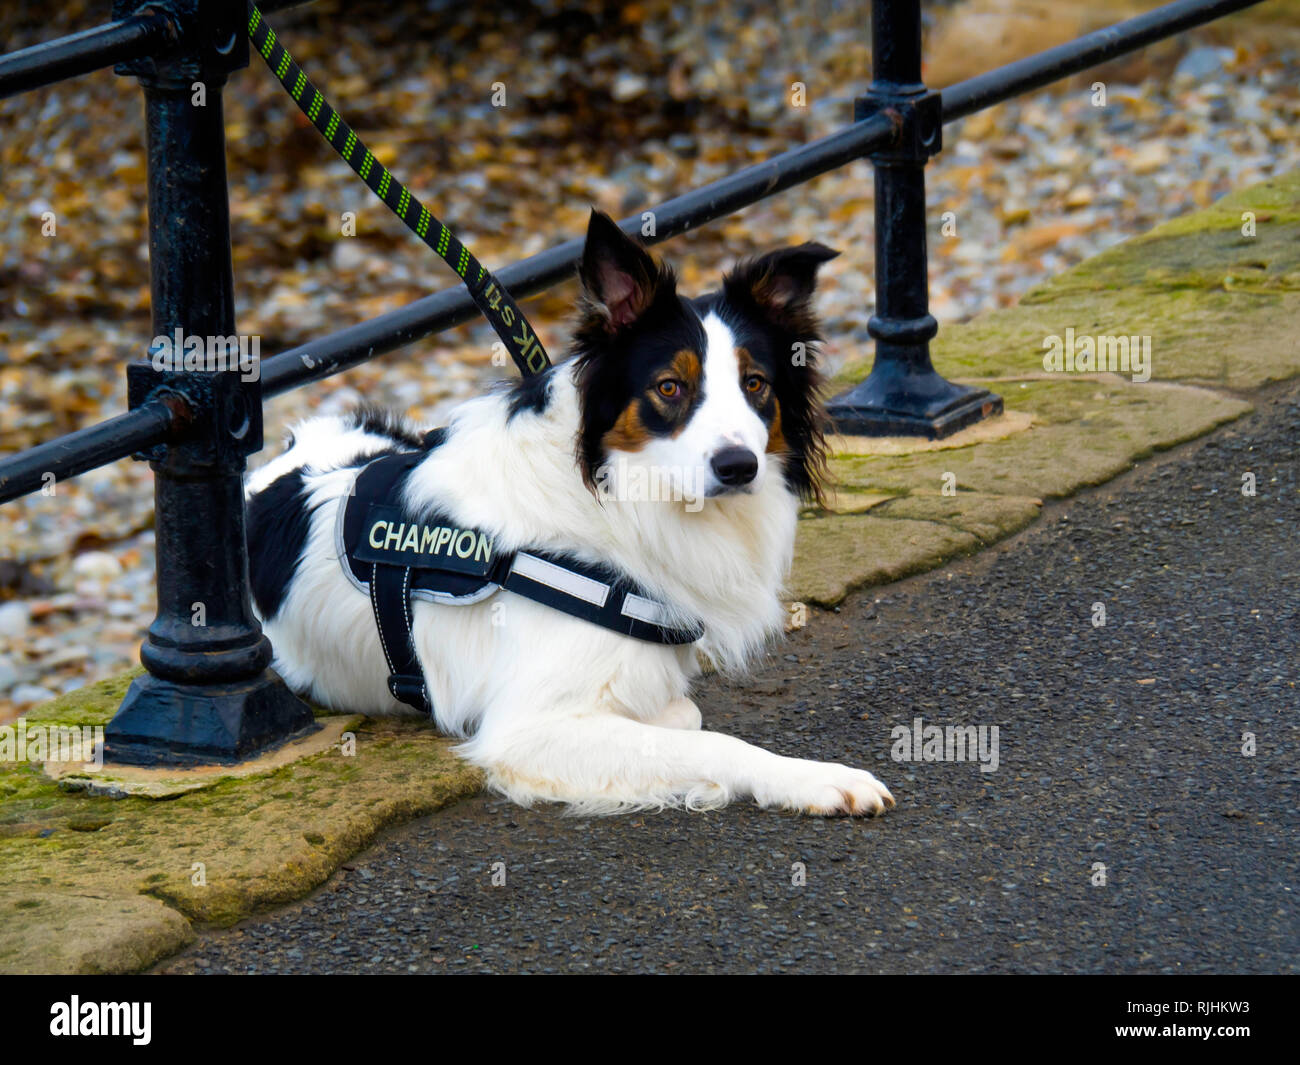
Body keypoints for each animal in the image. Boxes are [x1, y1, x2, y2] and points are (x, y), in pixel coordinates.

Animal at [244, 211, 894, 821]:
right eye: (669, 387)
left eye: (755, 383)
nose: (738, 466)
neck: (613, 501)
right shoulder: (528, 728)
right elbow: (711, 741)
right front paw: (813, 778)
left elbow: (683, 713)